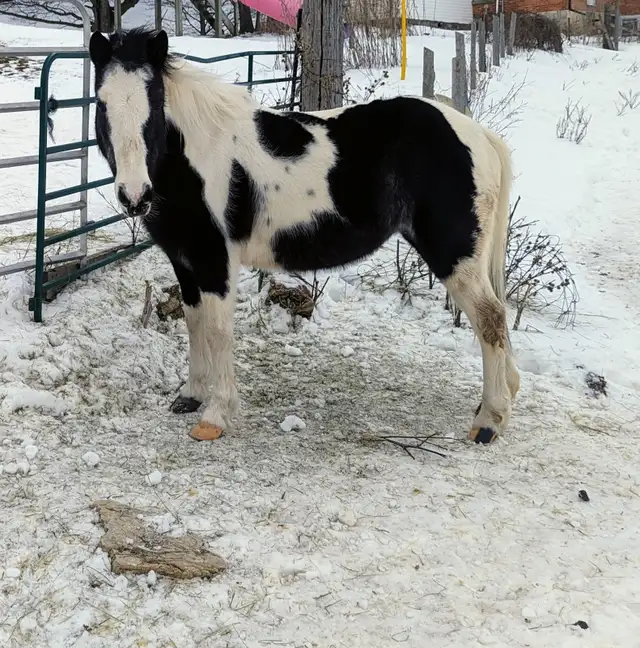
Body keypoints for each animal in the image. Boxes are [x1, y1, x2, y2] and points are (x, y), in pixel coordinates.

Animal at [86, 27, 520, 444]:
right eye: (102, 104)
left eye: (154, 101)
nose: (135, 196)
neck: (194, 158)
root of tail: (479, 136)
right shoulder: (184, 259)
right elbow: (194, 324)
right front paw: (190, 395)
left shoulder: (215, 260)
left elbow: (217, 331)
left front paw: (215, 416)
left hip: (454, 255)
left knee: (491, 319)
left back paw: (488, 423)